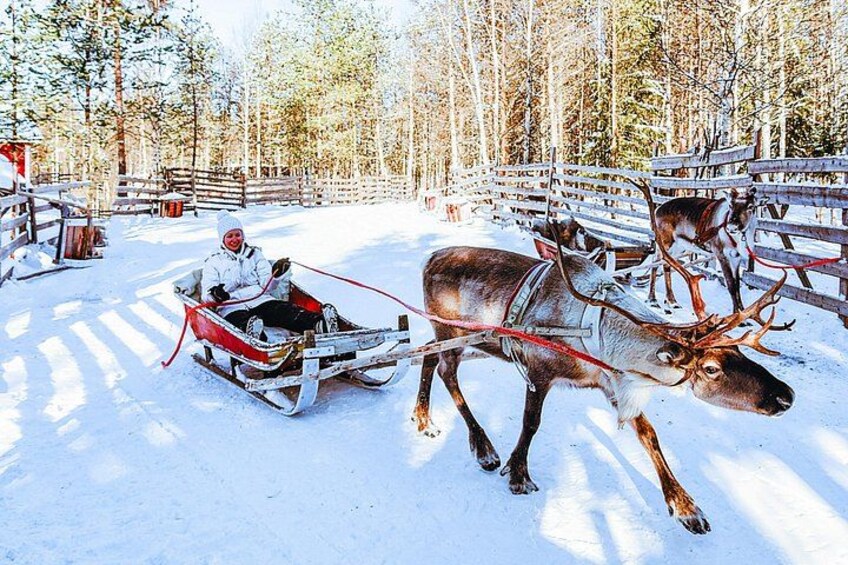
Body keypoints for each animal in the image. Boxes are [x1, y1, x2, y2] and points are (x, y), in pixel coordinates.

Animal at [413, 195, 794, 535]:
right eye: (711, 368)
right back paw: (484, 448)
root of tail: (429, 258)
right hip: (454, 332)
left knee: (428, 352)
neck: (596, 331)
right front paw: (519, 473)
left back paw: (424, 419)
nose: (786, 396)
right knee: (446, 371)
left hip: (474, 342)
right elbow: (531, 422)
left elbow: (649, 435)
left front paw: (686, 507)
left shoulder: (614, 380)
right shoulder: (539, 370)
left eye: (741, 352)